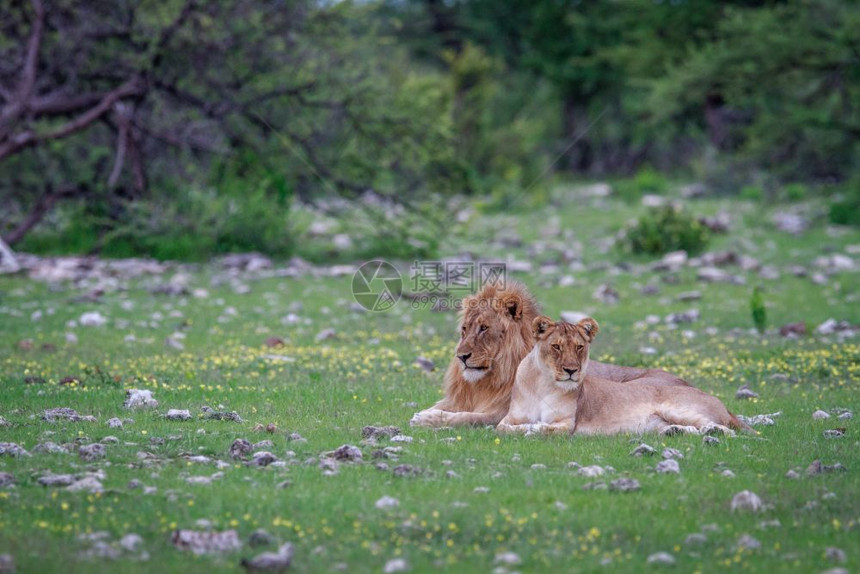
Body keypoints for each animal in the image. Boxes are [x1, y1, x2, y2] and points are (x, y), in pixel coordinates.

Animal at [412, 282, 692, 430]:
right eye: (464, 329)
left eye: (483, 328)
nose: (461, 356)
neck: (486, 381)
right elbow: (446, 407)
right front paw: (425, 412)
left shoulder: (501, 412)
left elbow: (467, 417)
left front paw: (426, 418)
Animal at [498, 316, 752, 436]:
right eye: (557, 347)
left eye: (579, 347)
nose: (571, 371)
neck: (543, 383)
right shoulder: (509, 418)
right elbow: (502, 428)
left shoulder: (567, 424)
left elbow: (542, 427)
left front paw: (532, 428)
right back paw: (674, 432)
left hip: (676, 408)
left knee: (722, 429)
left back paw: (711, 431)